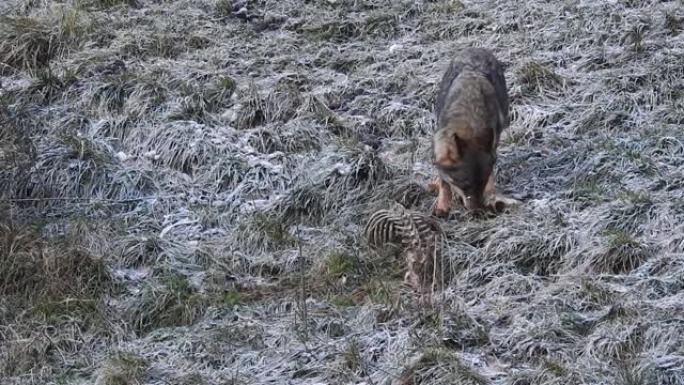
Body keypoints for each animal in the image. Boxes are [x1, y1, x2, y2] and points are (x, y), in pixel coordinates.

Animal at [428, 47, 520, 216]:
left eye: (481, 183)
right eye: (465, 184)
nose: (478, 211)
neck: (469, 123)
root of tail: (477, 48)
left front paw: (491, 196)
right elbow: (444, 182)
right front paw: (443, 205)